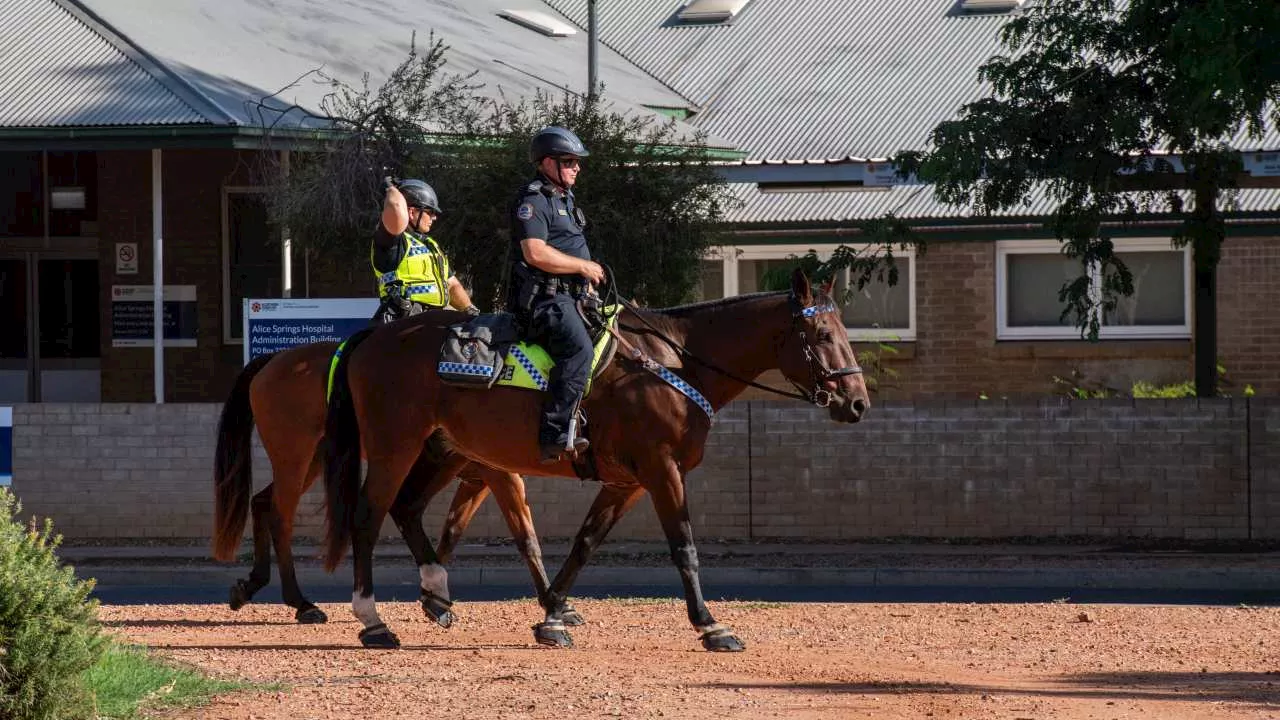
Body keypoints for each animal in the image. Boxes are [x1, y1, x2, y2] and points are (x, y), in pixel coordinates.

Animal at [213, 338, 586, 625]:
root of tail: (273, 360)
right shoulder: (497, 473)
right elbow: (524, 538)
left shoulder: (474, 479)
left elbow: (451, 531)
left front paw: (433, 596)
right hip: (295, 458)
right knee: (281, 517)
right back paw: (301, 603)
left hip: (313, 461)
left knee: (262, 503)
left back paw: (252, 586)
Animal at [320, 269, 870, 650]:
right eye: (822, 336)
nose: (858, 402)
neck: (672, 364)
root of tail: (375, 337)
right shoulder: (662, 471)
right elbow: (684, 548)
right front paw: (711, 625)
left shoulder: (626, 484)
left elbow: (584, 545)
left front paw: (552, 615)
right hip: (395, 447)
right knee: (368, 517)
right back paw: (373, 621)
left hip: (442, 452)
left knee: (407, 508)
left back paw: (436, 591)